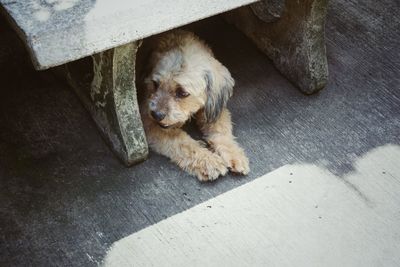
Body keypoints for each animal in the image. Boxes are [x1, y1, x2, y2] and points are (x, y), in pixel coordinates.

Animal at [138, 30, 250, 182]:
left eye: (183, 93)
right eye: (155, 84)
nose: (156, 114)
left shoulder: (213, 108)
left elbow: (221, 130)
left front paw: (234, 153)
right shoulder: (148, 122)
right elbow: (183, 142)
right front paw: (208, 161)